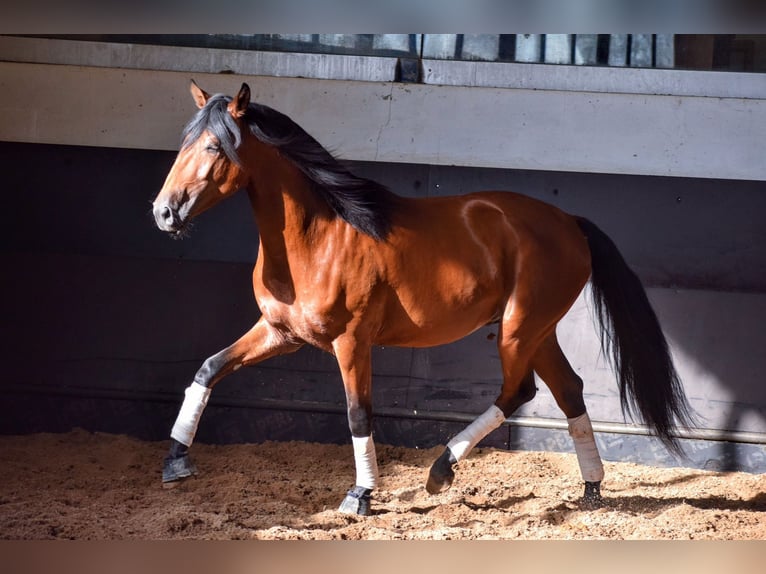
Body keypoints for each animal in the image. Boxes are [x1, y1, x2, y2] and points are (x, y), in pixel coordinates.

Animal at [153, 81, 700, 516]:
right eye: (184, 142)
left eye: (214, 147)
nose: (164, 212)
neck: (317, 237)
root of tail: (570, 223)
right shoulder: (281, 333)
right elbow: (208, 368)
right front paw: (176, 461)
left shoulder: (352, 343)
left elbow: (358, 413)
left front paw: (359, 496)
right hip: (538, 331)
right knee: (568, 390)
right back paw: (590, 490)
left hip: (520, 327)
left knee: (519, 391)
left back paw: (441, 470)